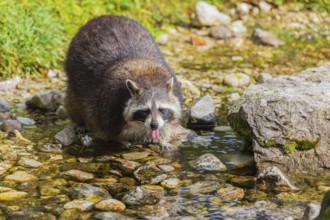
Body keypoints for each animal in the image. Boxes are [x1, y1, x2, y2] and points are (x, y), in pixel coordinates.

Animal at [64, 15, 188, 150]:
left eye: (162, 109)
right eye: (145, 110)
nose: (154, 125)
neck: (149, 79)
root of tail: (105, 17)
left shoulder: (176, 93)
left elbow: (169, 123)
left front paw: (163, 139)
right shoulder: (109, 105)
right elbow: (106, 128)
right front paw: (120, 140)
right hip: (74, 72)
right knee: (75, 101)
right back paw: (80, 121)